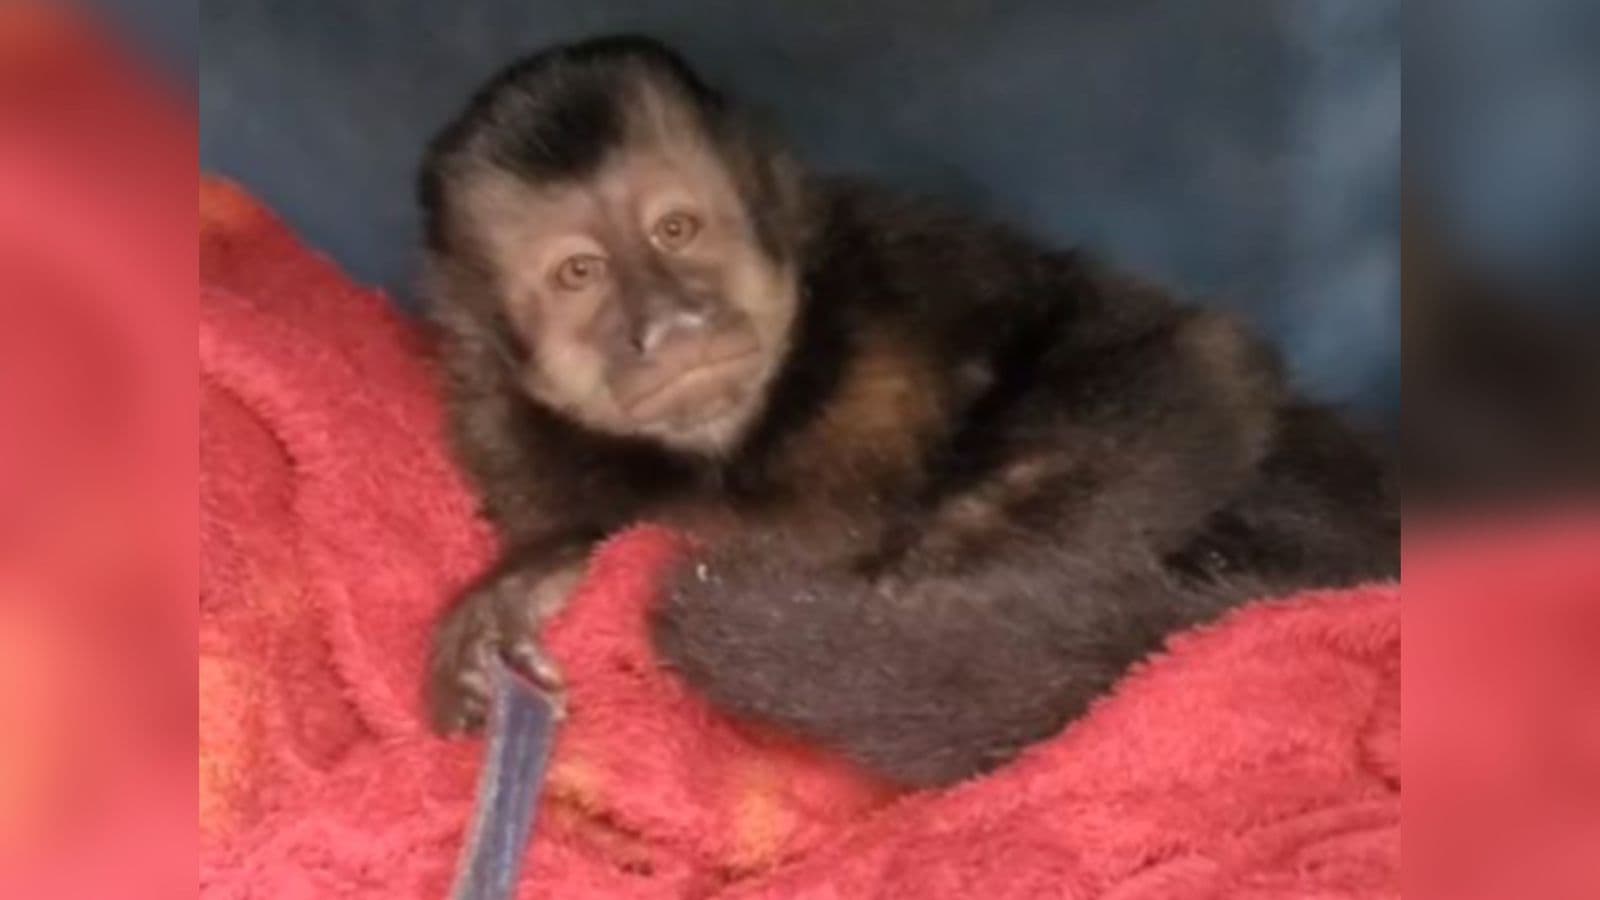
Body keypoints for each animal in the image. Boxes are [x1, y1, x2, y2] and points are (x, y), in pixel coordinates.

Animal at [418, 35, 1399, 787]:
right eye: (579, 273)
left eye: (676, 229)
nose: (671, 322)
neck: (764, 420)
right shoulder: (501, 434)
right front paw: (532, 580)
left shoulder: (901, 253)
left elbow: (1184, 357)